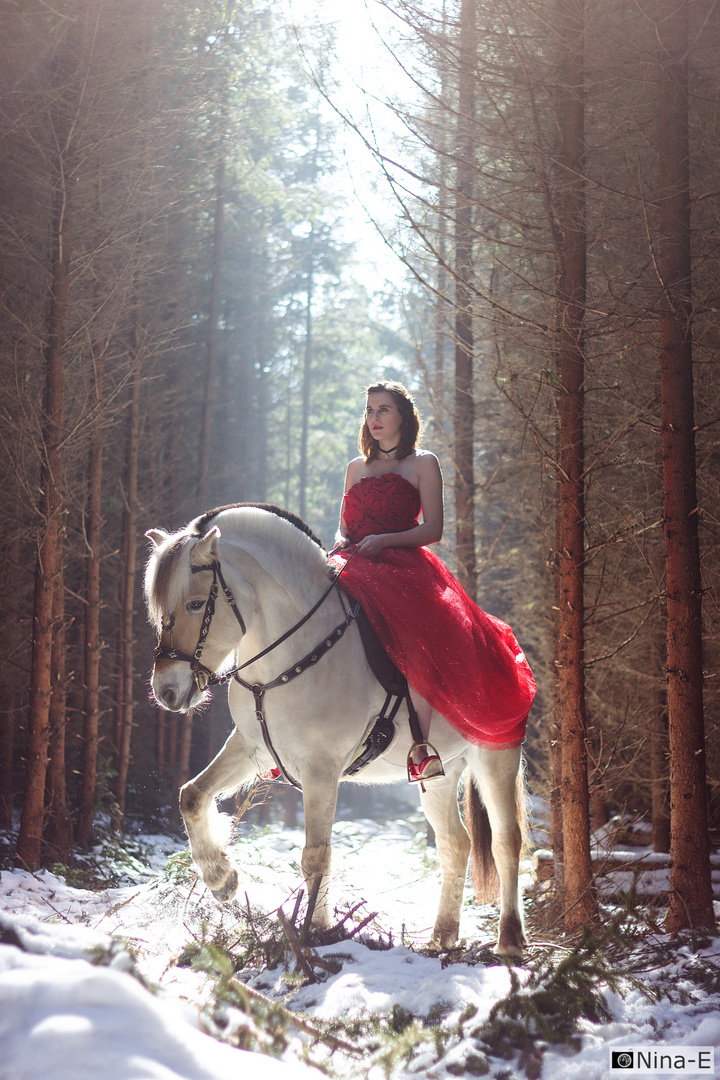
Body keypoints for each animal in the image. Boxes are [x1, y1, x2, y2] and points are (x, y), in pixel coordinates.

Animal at [144, 501, 528, 959]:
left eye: (197, 603)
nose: (166, 691)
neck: (292, 652)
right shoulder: (252, 748)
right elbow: (192, 795)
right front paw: (222, 879)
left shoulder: (321, 770)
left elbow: (316, 856)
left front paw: (314, 933)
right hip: (439, 773)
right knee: (456, 843)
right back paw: (441, 938)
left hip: (494, 756)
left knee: (506, 842)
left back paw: (509, 941)